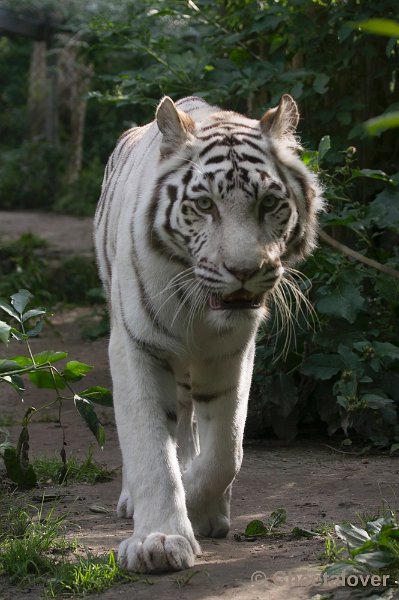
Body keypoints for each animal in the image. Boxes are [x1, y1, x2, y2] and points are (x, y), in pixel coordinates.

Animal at [94, 94, 324, 572]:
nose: (244, 271)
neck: (199, 308)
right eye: (204, 206)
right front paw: (158, 540)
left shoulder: (232, 354)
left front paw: (201, 511)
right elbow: (150, 451)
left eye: (269, 203)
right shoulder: (137, 346)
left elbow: (225, 451)